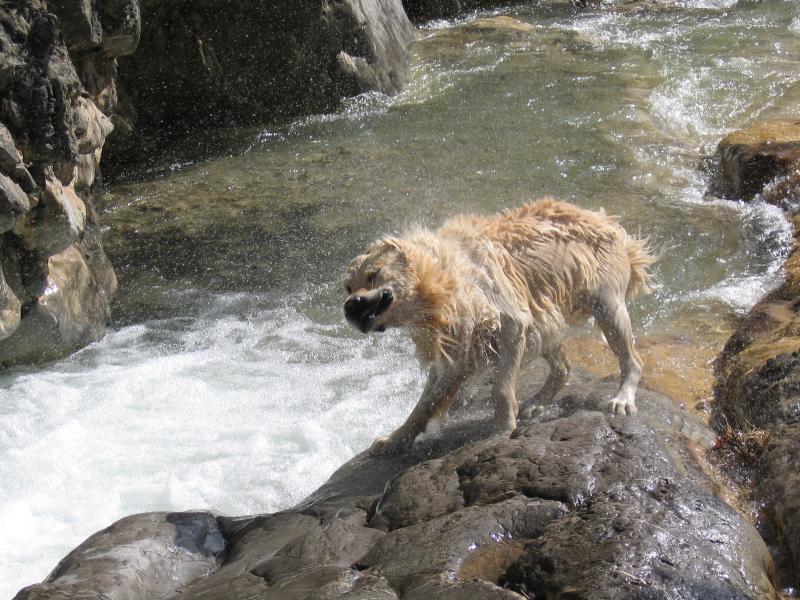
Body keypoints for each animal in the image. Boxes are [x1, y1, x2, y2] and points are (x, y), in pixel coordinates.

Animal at [340, 198, 652, 454]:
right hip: (547, 318)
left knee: (632, 357)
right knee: (562, 366)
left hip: (606, 304)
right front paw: (395, 438)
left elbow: (500, 389)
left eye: (374, 275)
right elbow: (425, 402)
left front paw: (501, 430)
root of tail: (607, 221)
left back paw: (622, 397)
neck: (439, 285)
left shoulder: (511, 322)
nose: (351, 306)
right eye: (348, 287)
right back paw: (538, 402)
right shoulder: (456, 346)